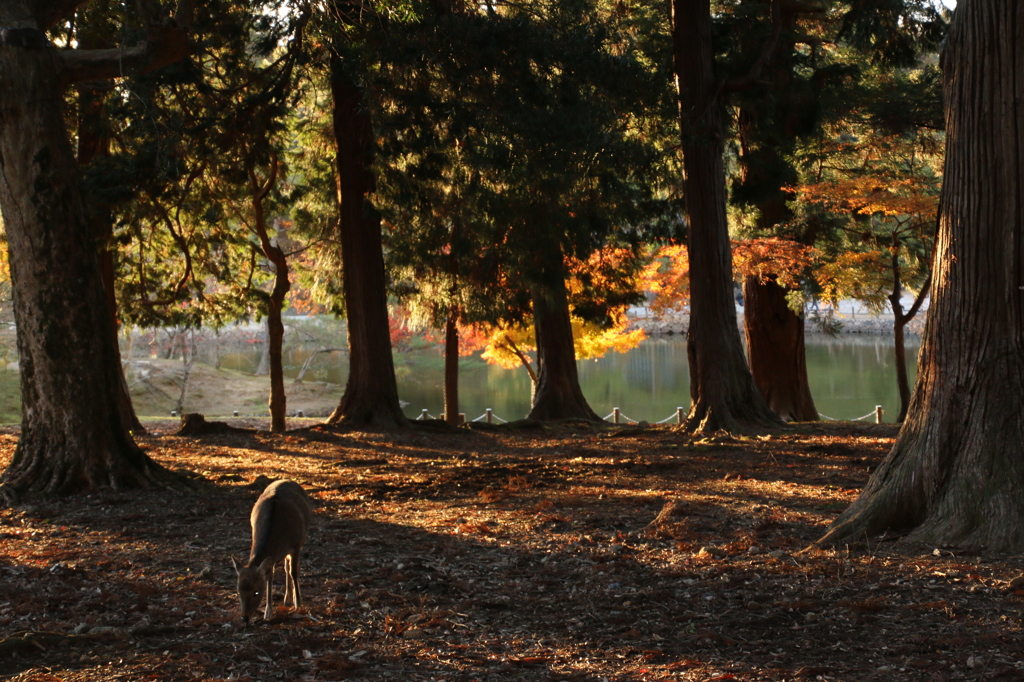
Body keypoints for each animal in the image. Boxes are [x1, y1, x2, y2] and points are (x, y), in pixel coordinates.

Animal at [232, 477, 311, 622]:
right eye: (238, 590)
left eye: (256, 592)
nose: (244, 617)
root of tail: (288, 479)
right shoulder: (272, 557)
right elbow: (270, 577)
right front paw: (268, 612)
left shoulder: (296, 545)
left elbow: (294, 572)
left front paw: (299, 603)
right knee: (285, 567)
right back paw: (287, 599)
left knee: (290, 568)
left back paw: (291, 599)